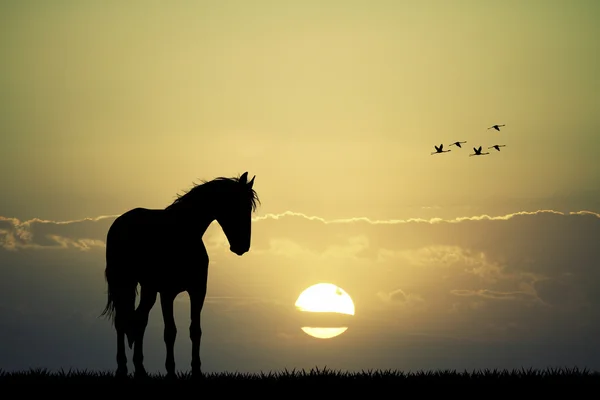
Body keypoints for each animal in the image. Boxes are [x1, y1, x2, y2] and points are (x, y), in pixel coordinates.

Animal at [101, 171, 260, 378]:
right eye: (236, 204)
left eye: (249, 207)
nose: (242, 246)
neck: (184, 234)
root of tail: (120, 222)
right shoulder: (167, 294)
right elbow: (170, 332)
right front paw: (170, 371)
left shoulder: (198, 291)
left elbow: (195, 330)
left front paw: (196, 370)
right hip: (122, 282)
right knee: (121, 321)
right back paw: (122, 368)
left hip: (148, 289)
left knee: (139, 320)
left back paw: (140, 369)